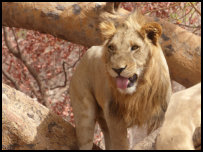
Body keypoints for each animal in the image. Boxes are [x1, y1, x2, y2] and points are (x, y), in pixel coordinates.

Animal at [69, 11, 171, 150]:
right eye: (111, 47)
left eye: (135, 47)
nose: (117, 69)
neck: (139, 93)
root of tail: (88, 51)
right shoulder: (115, 118)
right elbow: (120, 144)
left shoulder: (159, 117)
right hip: (85, 113)